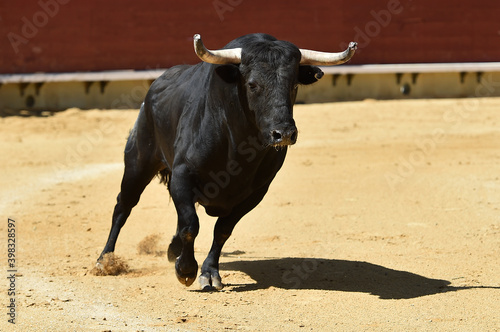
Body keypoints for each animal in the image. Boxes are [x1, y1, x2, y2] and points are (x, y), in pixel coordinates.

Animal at [97, 32, 356, 290]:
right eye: (252, 84)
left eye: (293, 85)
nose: (283, 133)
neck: (238, 145)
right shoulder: (182, 175)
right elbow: (190, 224)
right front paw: (186, 270)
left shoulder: (256, 192)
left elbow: (222, 230)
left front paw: (209, 272)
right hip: (138, 163)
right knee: (124, 206)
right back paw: (105, 260)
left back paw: (172, 250)